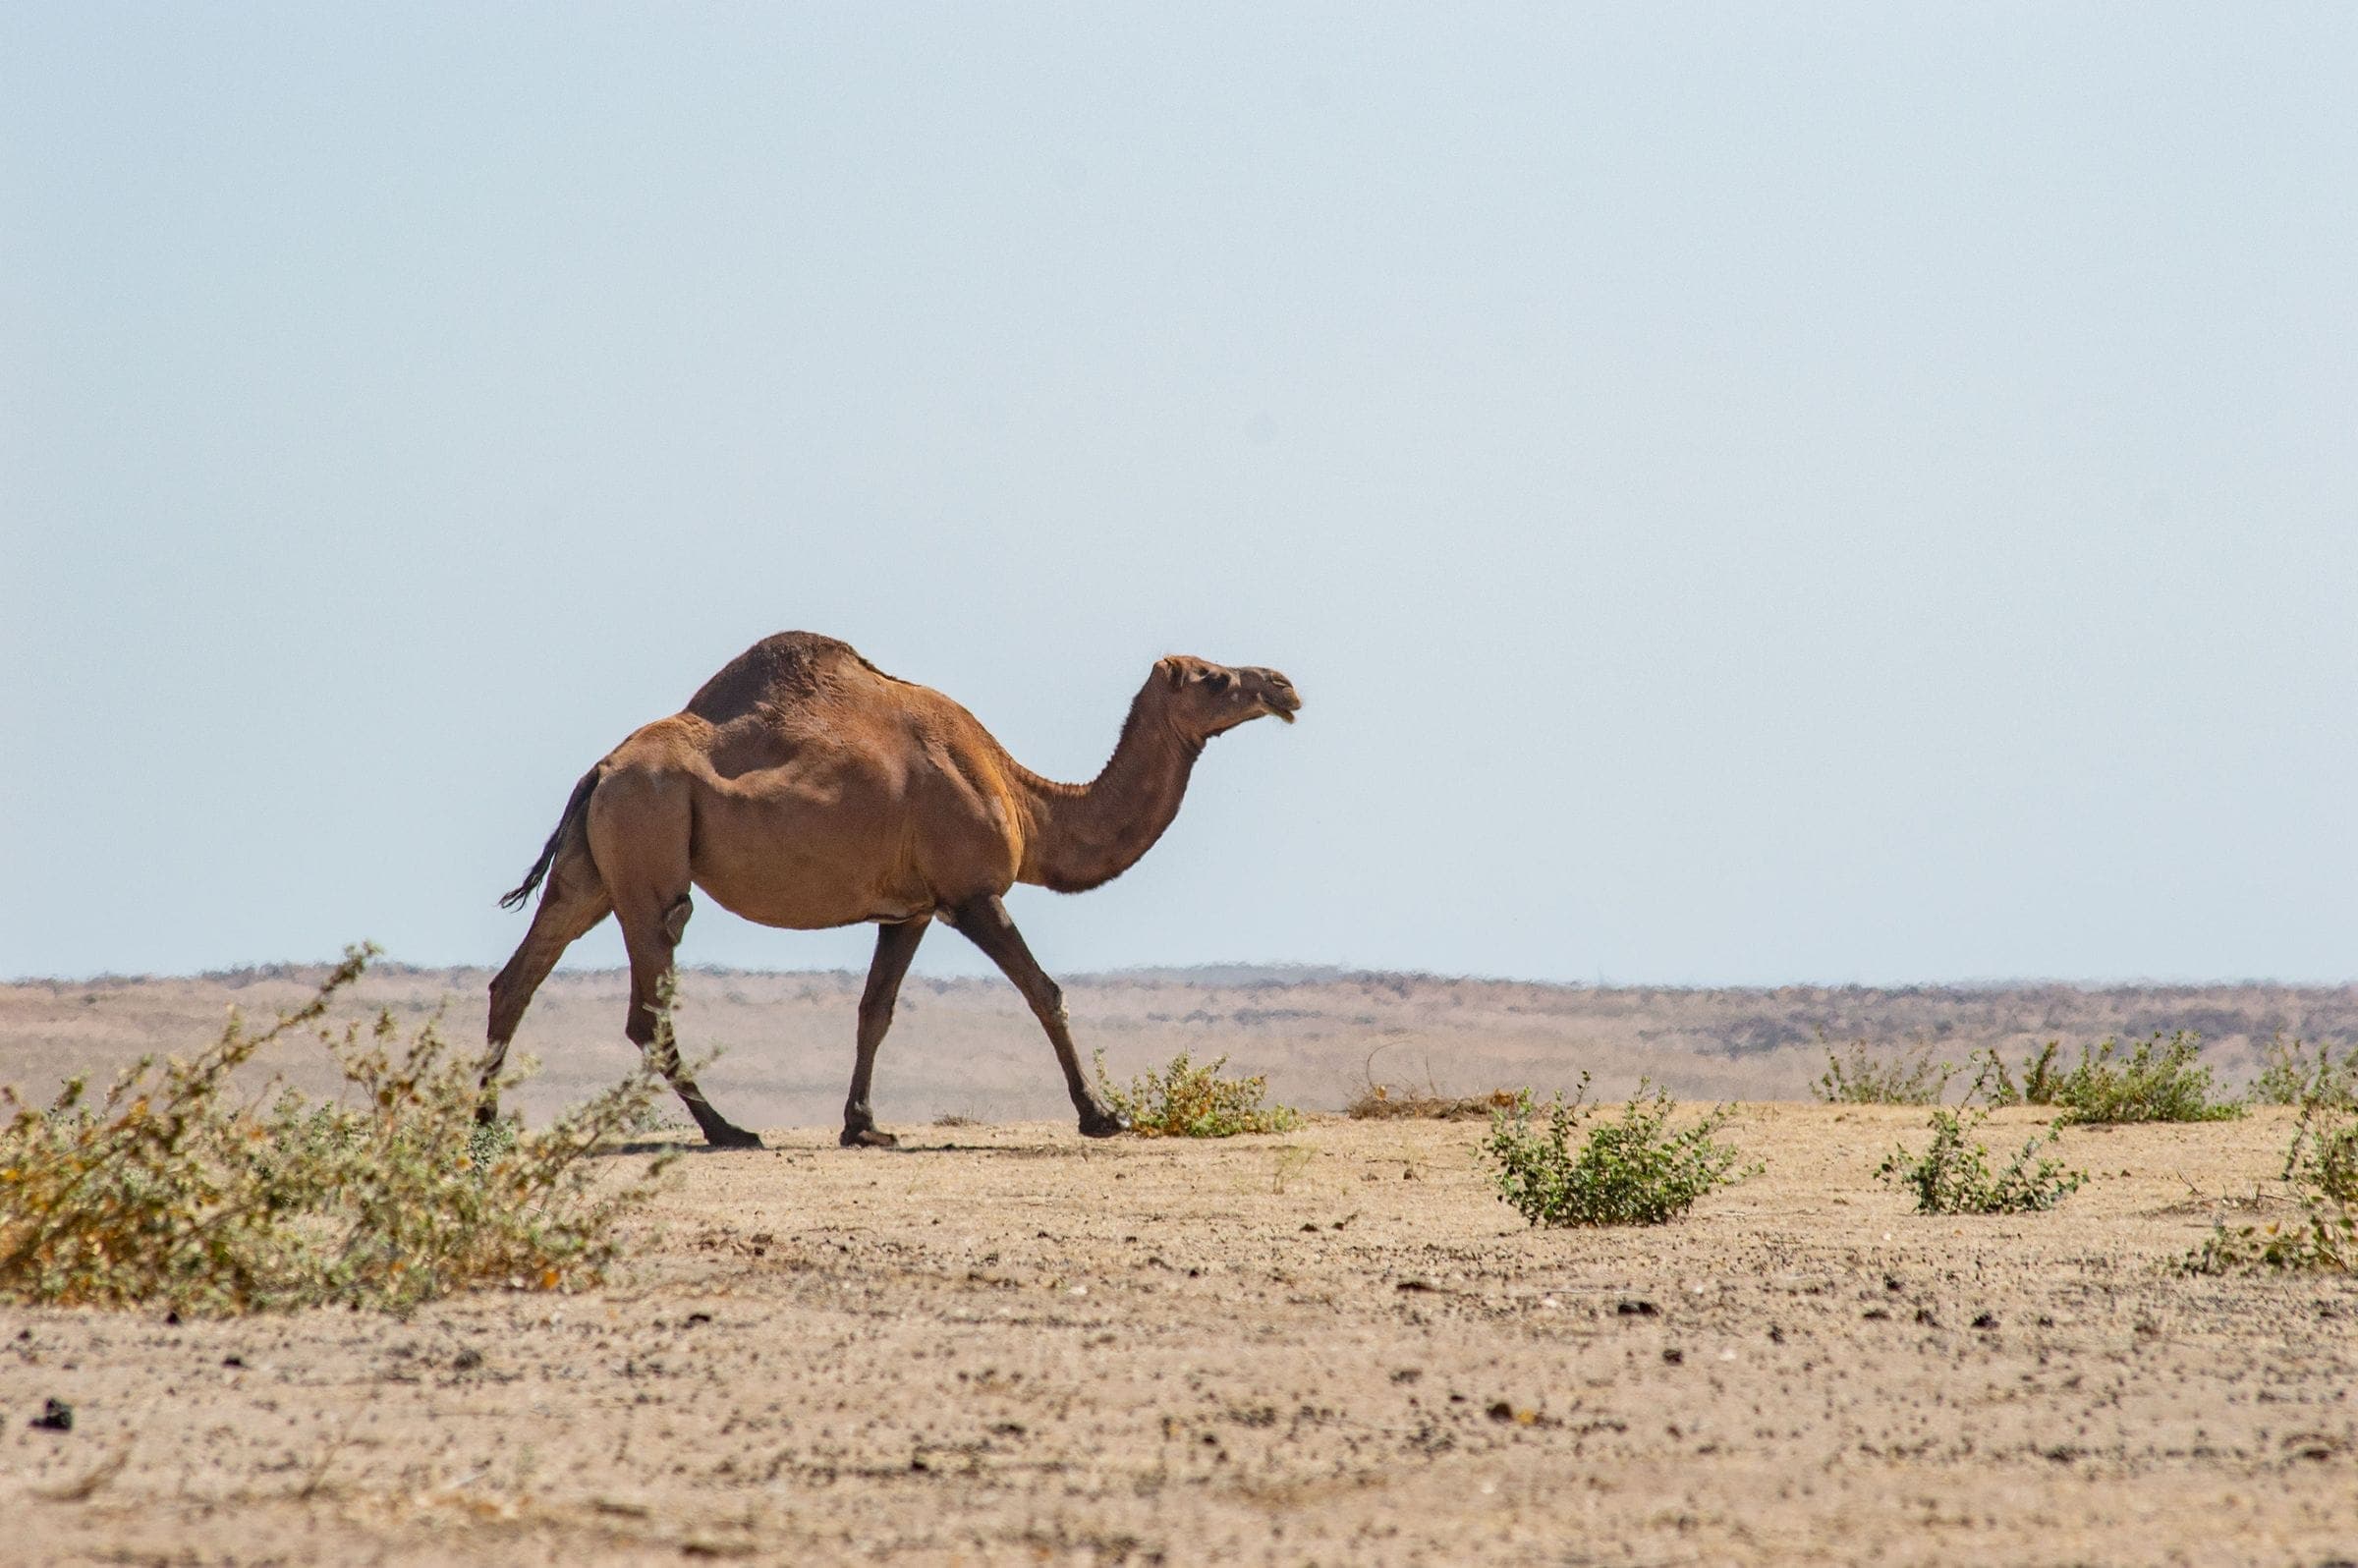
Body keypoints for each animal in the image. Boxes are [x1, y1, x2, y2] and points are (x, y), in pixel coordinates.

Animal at [482, 632, 1301, 1148]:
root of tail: (602, 767)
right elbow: (1046, 993)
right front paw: (1101, 1115)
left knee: (517, 976)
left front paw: (864, 1125)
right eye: (1214, 677)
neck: (1024, 800)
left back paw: (483, 1127)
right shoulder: (972, 894)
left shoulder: (910, 911)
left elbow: (875, 1012)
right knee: (646, 1001)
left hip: (594, 869)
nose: (1284, 684)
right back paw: (729, 1130)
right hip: (648, 852)